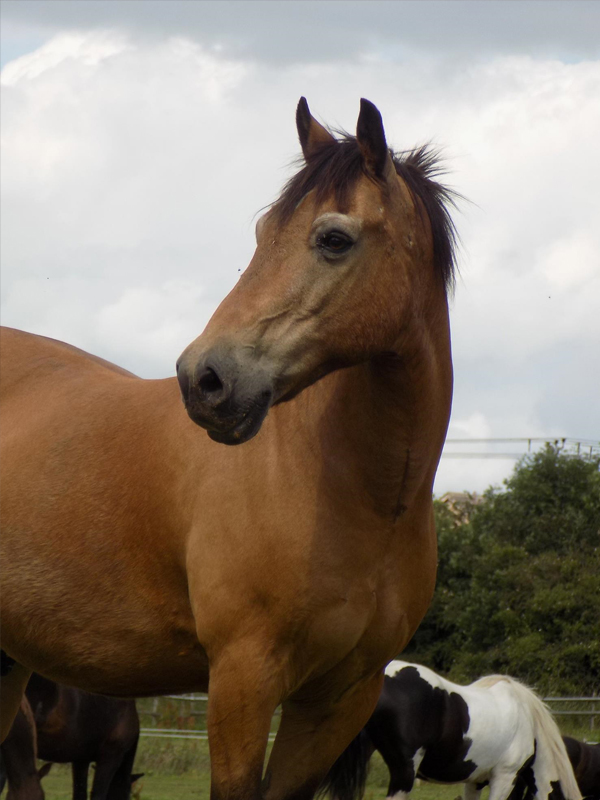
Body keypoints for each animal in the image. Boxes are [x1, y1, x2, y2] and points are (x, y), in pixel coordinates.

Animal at [0, 97, 457, 800]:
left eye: (333, 239)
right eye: (264, 231)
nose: (203, 380)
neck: (356, 496)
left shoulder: (339, 698)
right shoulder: (243, 678)